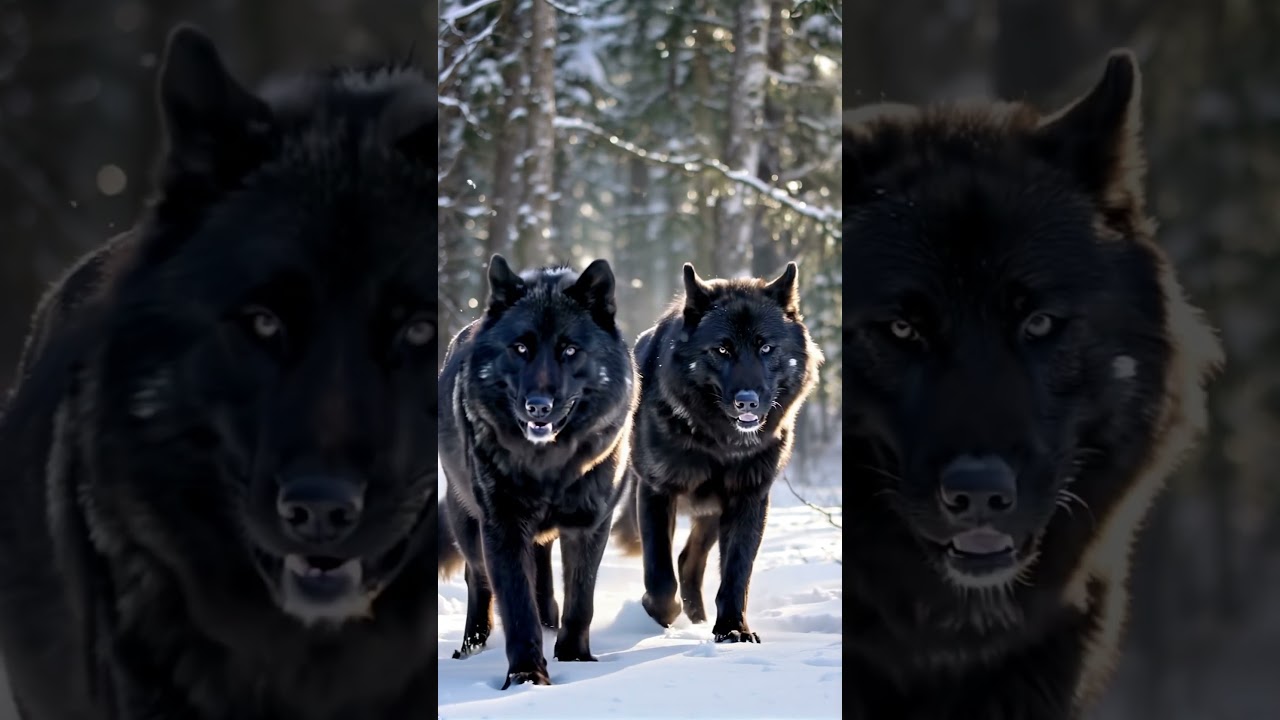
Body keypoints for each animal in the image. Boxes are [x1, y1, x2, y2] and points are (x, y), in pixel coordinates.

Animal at [437, 255, 638, 689]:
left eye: (569, 350)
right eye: (521, 348)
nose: (538, 406)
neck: (549, 467)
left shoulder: (589, 525)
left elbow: (581, 600)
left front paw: (575, 658)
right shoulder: (503, 527)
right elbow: (516, 605)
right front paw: (527, 675)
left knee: (544, 577)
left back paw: (550, 624)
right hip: (467, 525)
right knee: (478, 580)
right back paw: (472, 645)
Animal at [611, 262, 823, 643]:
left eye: (766, 348)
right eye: (722, 350)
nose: (747, 401)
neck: (718, 443)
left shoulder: (748, 498)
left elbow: (737, 573)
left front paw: (733, 630)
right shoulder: (656, 491)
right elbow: (659, 573)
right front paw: (659, 612)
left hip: (711, 514)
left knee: (689, 562)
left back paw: (698, 620)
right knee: (677, 562)